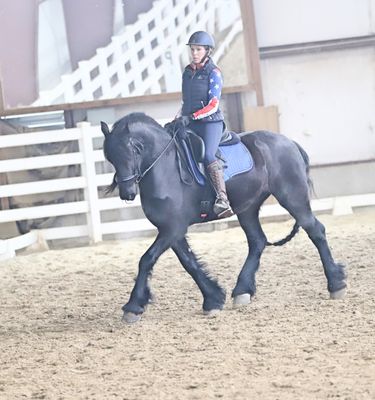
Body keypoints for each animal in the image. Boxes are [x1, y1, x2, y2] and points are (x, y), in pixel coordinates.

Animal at [102, 111, 346, 322]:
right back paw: (242, 291)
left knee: (315, 230)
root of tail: (289, 143)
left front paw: (133, 306)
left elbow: (146, 259)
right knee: (257, 241)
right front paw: (213, 298)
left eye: (134, 150)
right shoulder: (171, 229)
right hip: (248, 209)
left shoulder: (173, 228)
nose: (127, 193)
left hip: (292, 197)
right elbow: (189, 262)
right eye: (110, 156)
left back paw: (336, 284)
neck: (165, 168)